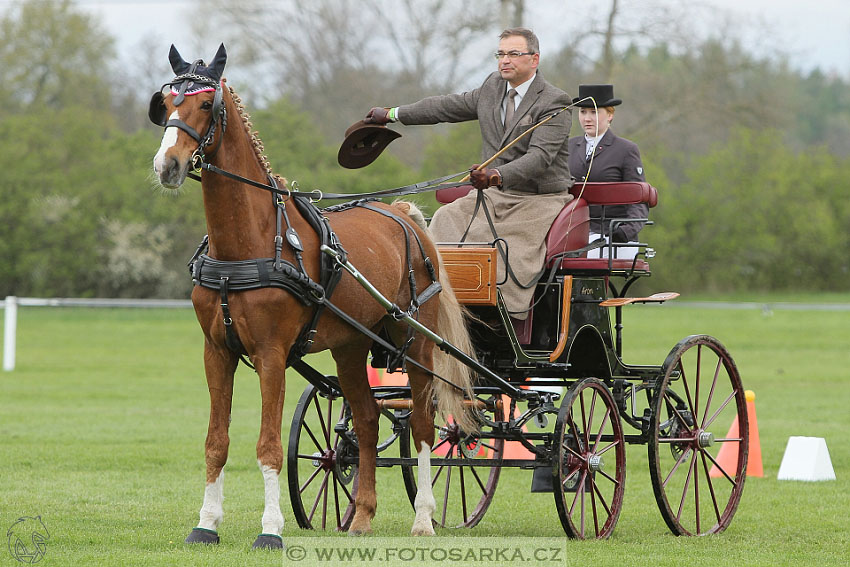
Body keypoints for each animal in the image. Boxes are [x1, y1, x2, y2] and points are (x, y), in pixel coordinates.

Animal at [149, 46, 474, 548]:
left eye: (206, 104)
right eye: (166, 104)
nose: (167, 166)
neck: (250, 241)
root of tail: (402, 214)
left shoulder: (270, 354)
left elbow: (267, 446)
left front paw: (270, 530)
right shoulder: (217, 351)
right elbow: (216, 443)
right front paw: (206, 524)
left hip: (415, 341)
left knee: (421, 425)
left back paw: (423, 518)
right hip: (352, 345)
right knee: (366, 417)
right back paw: (361, 516)